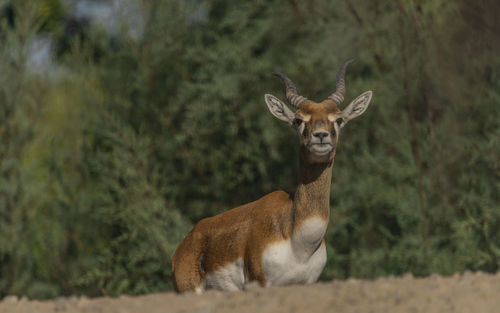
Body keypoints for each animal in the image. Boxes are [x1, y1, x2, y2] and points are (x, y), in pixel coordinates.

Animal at [172, 59, 372, 292]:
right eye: (298, 120)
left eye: (339, 119)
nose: (320, 136)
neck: (298, 240)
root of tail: (184, 245)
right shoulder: (259, 283)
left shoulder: (306, 283)